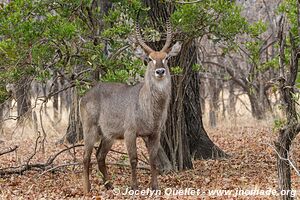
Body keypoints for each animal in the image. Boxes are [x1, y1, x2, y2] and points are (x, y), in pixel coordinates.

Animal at [79, 16, 182, 192]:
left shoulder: (155, 133)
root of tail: (85, 95)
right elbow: (133, 159)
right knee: (86, 157)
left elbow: (153, 160)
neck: (148, 107)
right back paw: (87, 189)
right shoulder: (130, 133)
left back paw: (109, 186)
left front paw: (155, 187)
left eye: (166, 58)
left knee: (99, 156)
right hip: (90, 129)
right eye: (149, 59)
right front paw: (134, 186)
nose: (160, 71)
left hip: (108, 135)